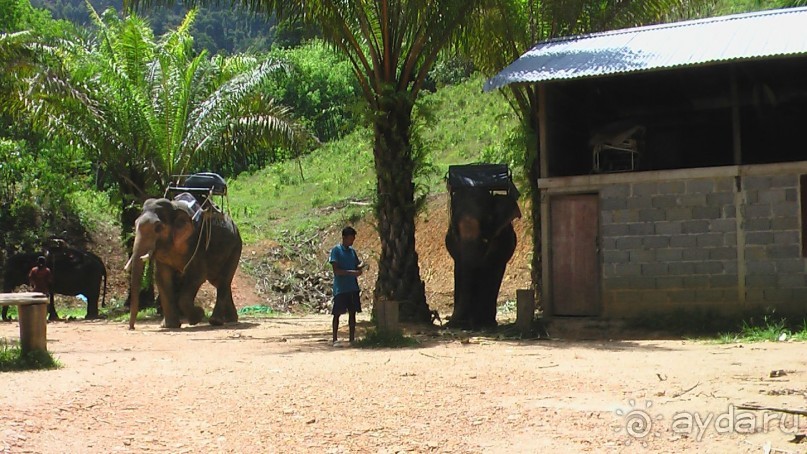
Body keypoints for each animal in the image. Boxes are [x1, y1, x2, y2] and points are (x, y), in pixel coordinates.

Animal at [124, 192, 241, 330]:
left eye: (158, 228)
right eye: (135, 223)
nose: (131, 328)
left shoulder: (197, 244)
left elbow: (197, 276)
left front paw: (198, 316)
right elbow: (162, 277)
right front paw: (169, 326)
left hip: (235, 248)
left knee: (224, 279)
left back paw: (216, 321)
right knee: (218, 281)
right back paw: (230, 319)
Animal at [446, 165, 520, 328]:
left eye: (488, 219)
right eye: (454, 223)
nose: (447, 323)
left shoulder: (499, 239)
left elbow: (489, 268)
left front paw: (480, 324)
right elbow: (461, 267)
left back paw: (488, 323)